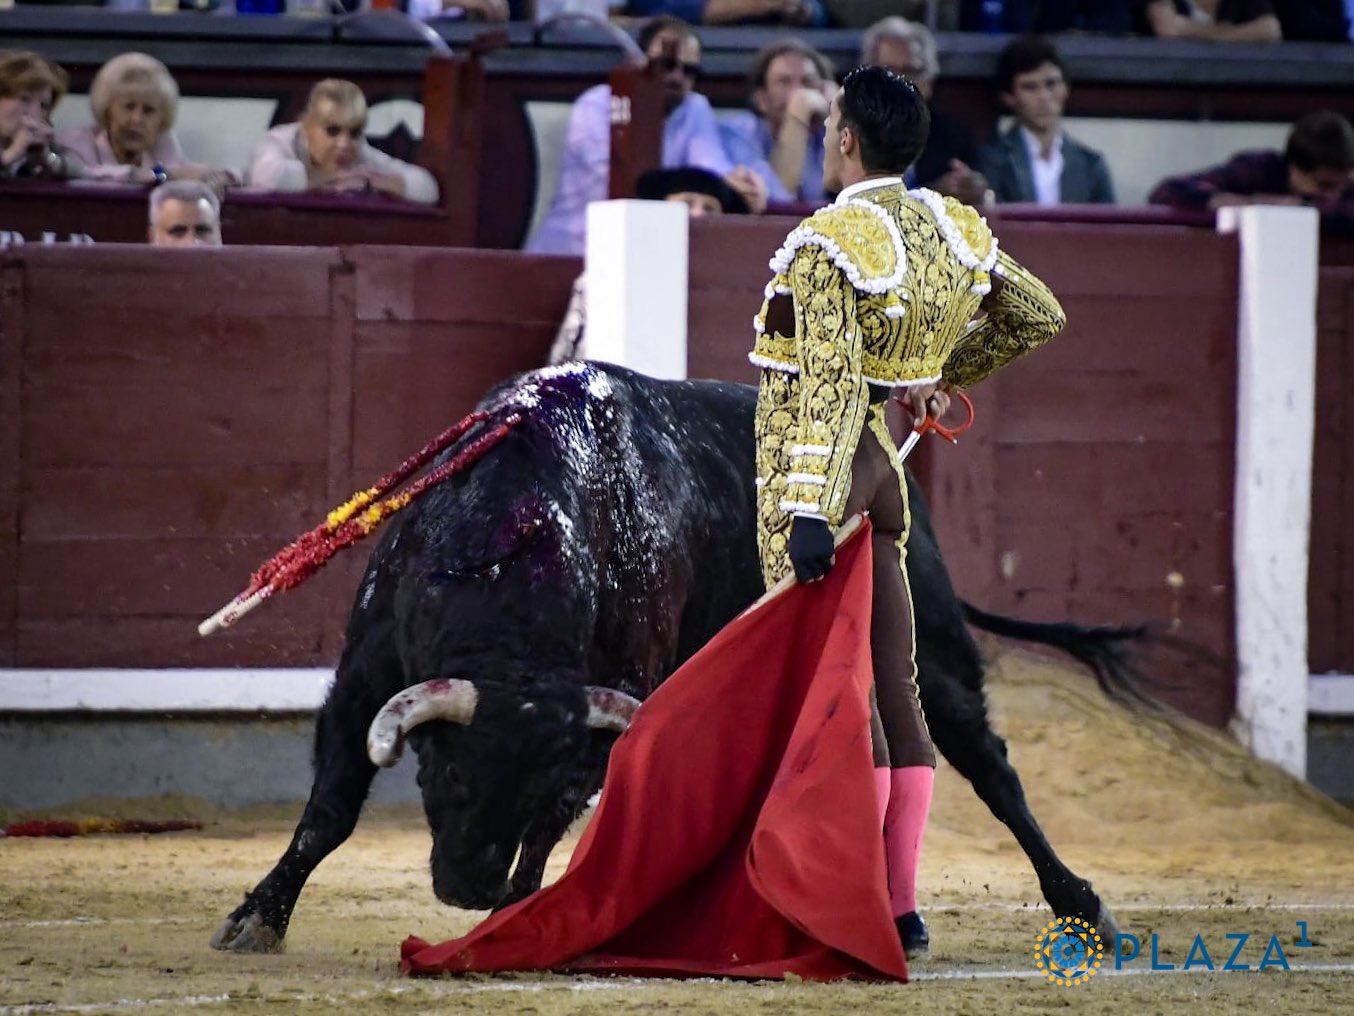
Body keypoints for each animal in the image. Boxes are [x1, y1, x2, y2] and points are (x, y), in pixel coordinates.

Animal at [213, 363, 1142, 953]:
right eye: (444, 775)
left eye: (534, 788)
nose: (465, 887)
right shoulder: (363, 678)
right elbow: (330, 810)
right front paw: (259, 917)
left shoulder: (601, 715)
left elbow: (546, 833)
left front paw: (512, 921)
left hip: (932, 647)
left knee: (987, 767)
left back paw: (1077, 903)